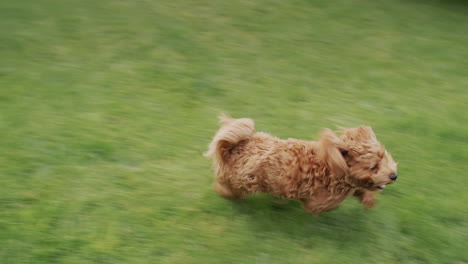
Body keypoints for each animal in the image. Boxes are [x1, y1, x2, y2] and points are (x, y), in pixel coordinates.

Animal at [205, 114, 398, 216]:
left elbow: (362, 190)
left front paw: (368, 199)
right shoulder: (321, 200)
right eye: (373, 167)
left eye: (384, 157)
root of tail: (232, 147)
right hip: (244, 180)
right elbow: (323, 206)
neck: (335, 164)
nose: (394, 176)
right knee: (224, 186)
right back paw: (229, 195)